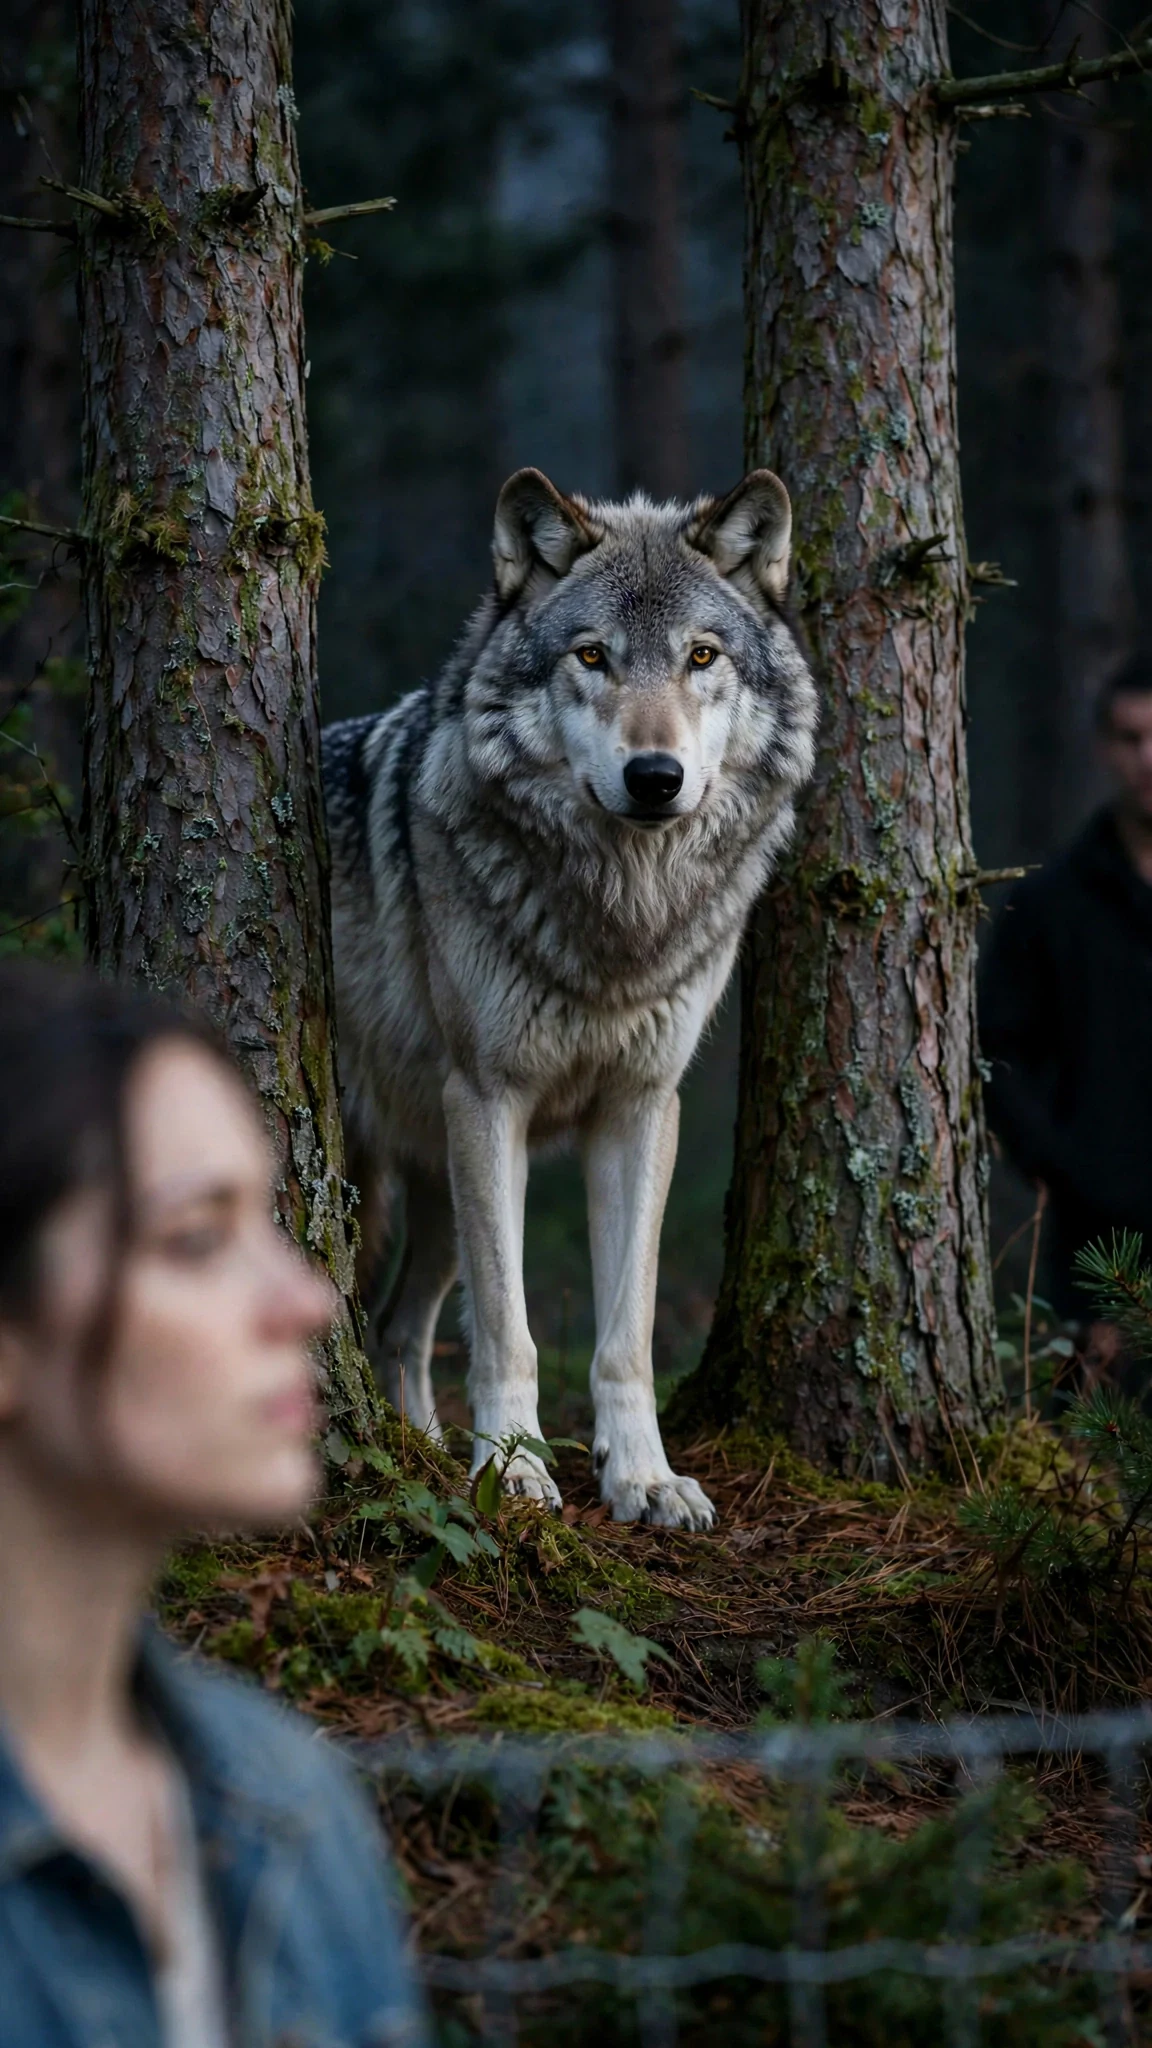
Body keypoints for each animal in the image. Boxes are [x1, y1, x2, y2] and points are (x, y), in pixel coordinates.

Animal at [322, 468, 817, 1529]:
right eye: (593, 655)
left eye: (701, 656)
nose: (656, 776)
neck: (618, 924)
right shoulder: (490, 1101)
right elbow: (512, 1333)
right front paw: (512, 1474)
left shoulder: (641, 1107)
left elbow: (626, 1332)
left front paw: (643, 1479)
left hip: (432, 1194)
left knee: (396, 1327)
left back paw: (421, 1449)